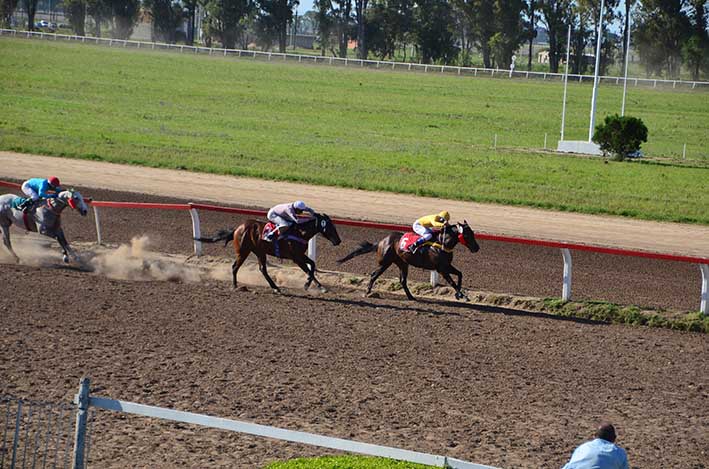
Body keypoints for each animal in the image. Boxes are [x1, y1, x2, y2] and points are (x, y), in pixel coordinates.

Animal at [198, 213, 342, 292]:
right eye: (330, 226)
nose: (338, 241)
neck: (300, 232)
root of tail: (237, 229)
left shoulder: (300, 255)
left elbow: (312, 265)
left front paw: (317, 286)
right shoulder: (296, 257)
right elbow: (308, 269)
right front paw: (308, 285)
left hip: (259, 252)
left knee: (262, 269)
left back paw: (275, 287)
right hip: (244, 251)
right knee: (235, 267)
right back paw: (235, 286)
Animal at [334, 221, 478, 302]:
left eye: (472, 233)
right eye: (467, 235)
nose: (477, 248)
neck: (441, 243)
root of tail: (381, 242)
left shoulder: (446, 265)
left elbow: (460, 274)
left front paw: (459, 295)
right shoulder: (441, 269)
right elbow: (452, 282)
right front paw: (462, 296)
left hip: (403, 263)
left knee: (402, 281)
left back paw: (411, 297)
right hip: (385, 262)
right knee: (374, 275)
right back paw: (367, 292)